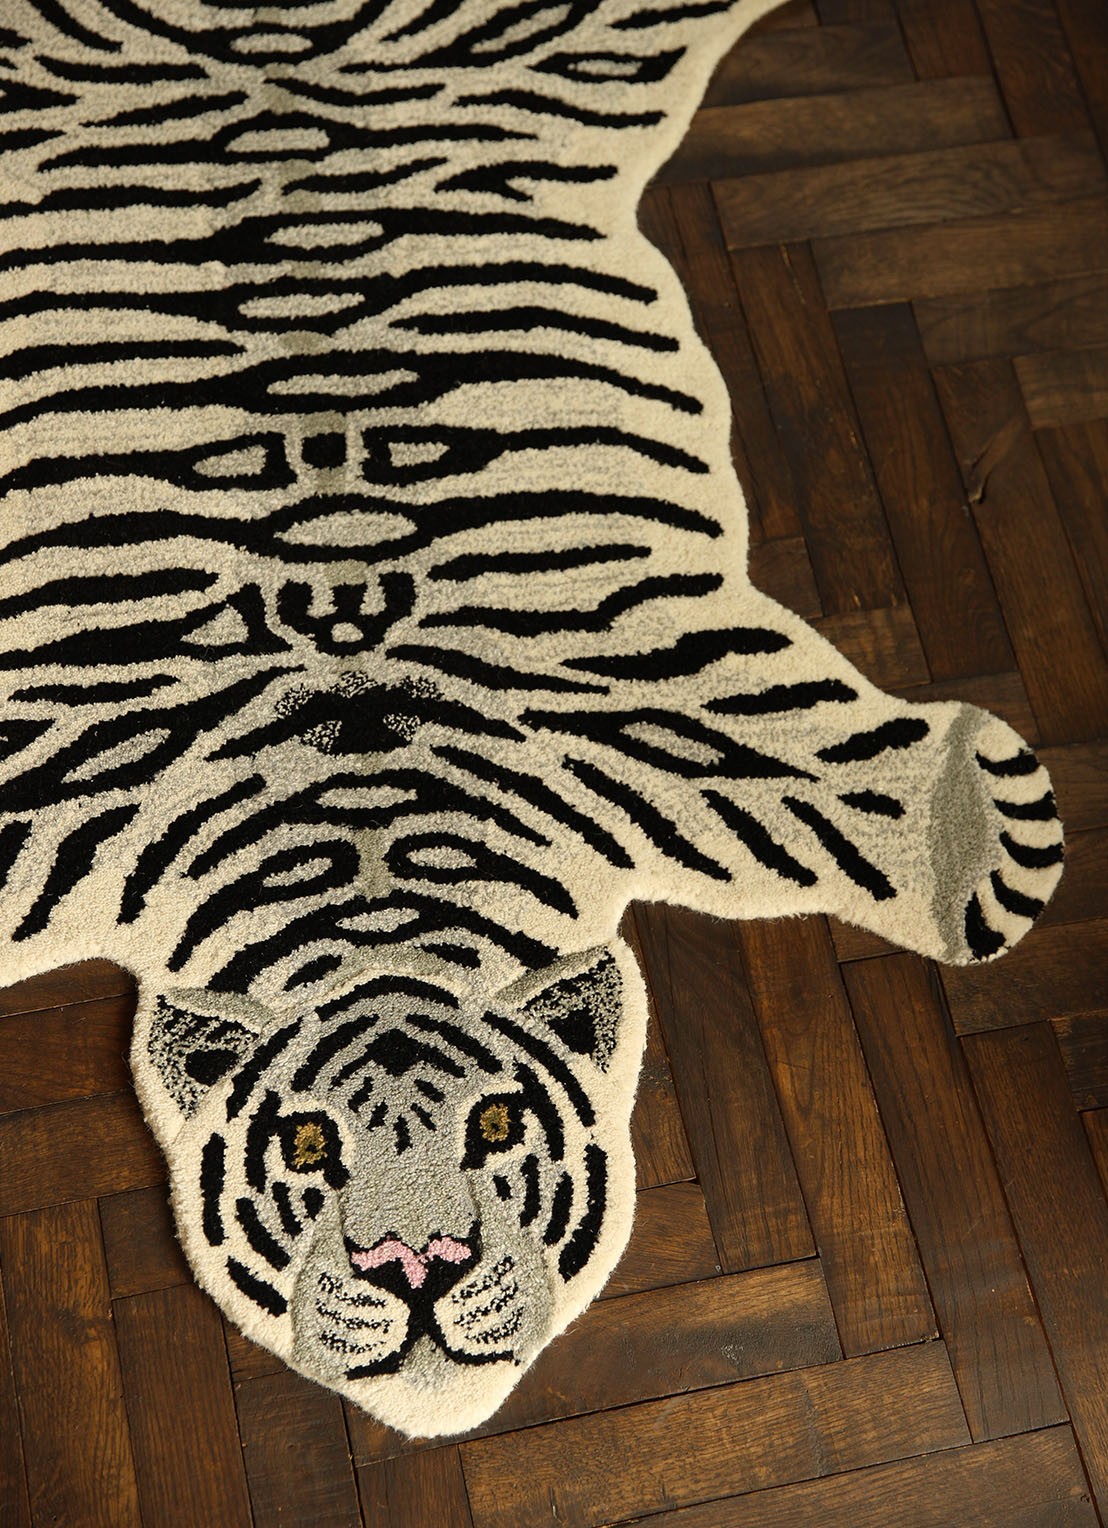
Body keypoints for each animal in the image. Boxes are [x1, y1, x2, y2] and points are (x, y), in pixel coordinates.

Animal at [0, 0, 1064, 1436]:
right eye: (309, 1144)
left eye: (497, 1128)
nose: (418, 1263)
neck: (369, 850)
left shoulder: (631, 697)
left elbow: (836, 773)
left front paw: (986, 825)